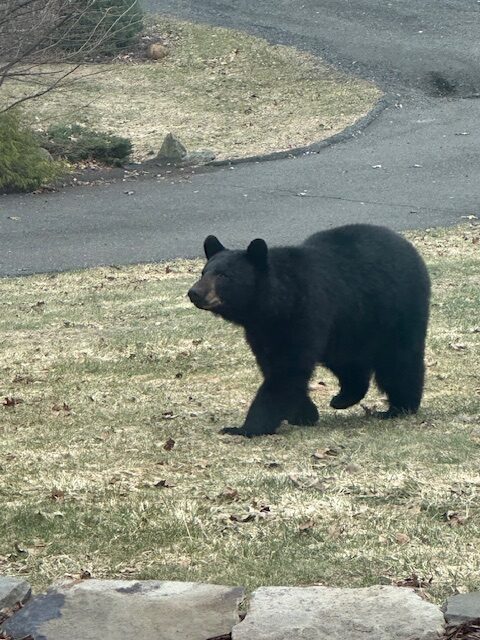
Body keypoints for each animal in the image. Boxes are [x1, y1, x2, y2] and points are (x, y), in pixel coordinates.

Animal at [188, 224, 430, 437]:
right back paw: (344, 398)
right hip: (348, 326)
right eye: (203, 272)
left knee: (398, 359)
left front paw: (245, 428)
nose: (194, 292)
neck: (275, 305)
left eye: (223, 276)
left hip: (394, 310)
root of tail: (409, 248)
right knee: (348, 362)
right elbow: (275, 367)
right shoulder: (262, 331)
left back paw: (400, 407)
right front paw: (304, 414)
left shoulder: (304, 313)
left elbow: (287, 369)